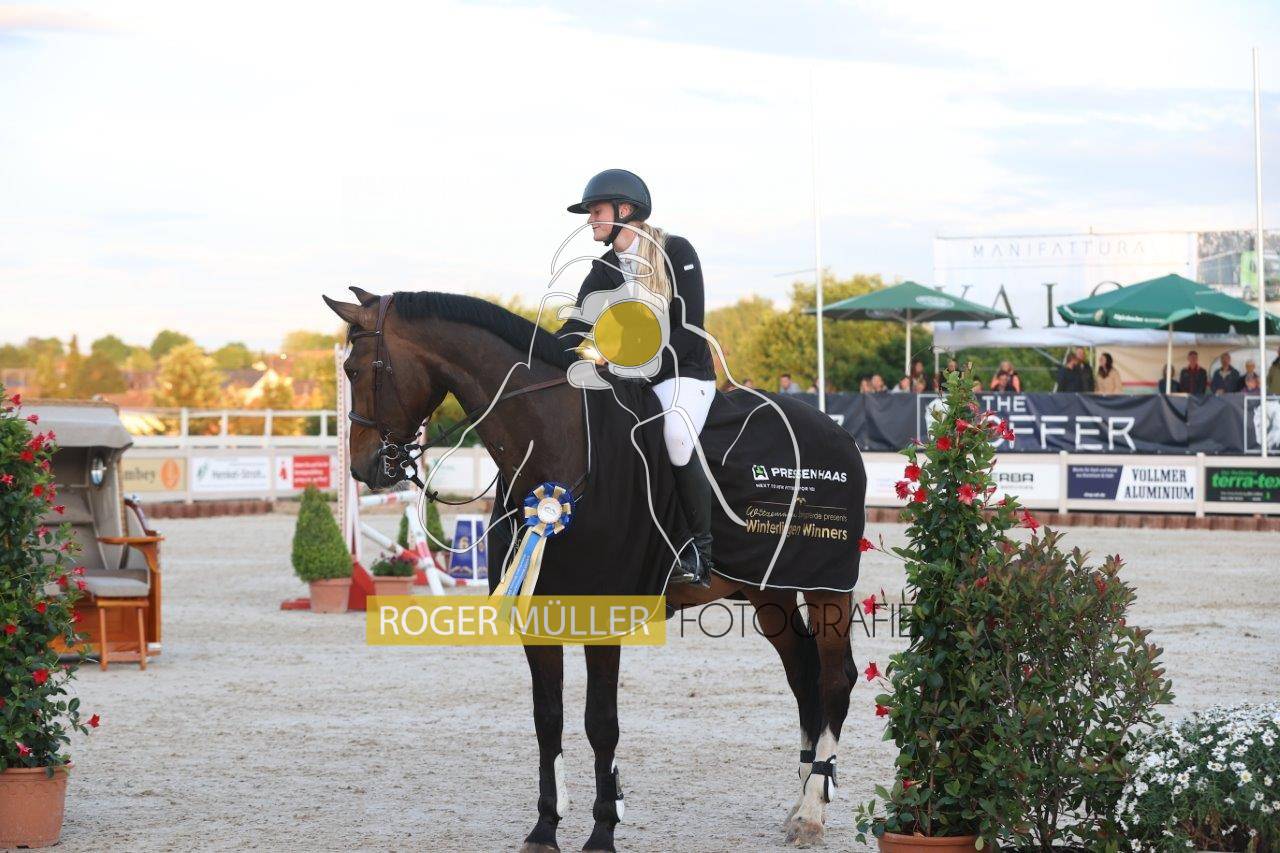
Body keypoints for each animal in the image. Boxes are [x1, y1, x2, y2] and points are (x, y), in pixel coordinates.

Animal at [324, 287, 864, 851]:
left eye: (355, 370)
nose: (363, 466)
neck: (553, 449)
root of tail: (837, 431)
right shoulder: (538, 615)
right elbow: (548, 719)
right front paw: (545, 827)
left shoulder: (603, 618)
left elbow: (601, 721)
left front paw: (603, 828)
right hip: (769, 591)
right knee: (802, 673)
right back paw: (802, 799)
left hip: (827, 587)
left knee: (833, 679)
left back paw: (812, 811)